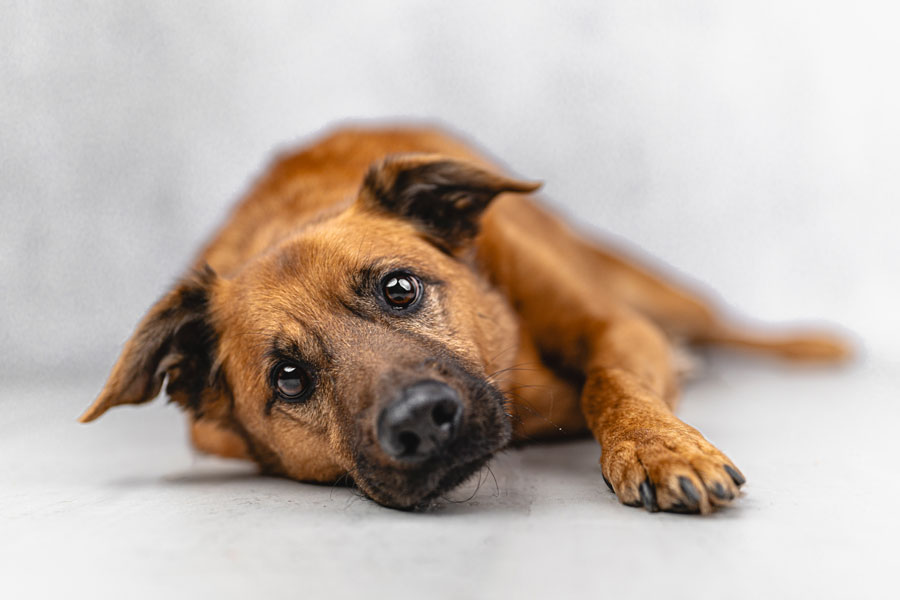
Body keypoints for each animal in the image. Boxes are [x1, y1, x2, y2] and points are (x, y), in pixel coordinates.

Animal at [79, 124, 852, 512]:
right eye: (289, 379)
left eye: (399, 288)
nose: (420, 421)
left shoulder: (621, 329)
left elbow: (610, 381)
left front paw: (659, 448)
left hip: (656, 291)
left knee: (726, 324)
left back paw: (816, 346)